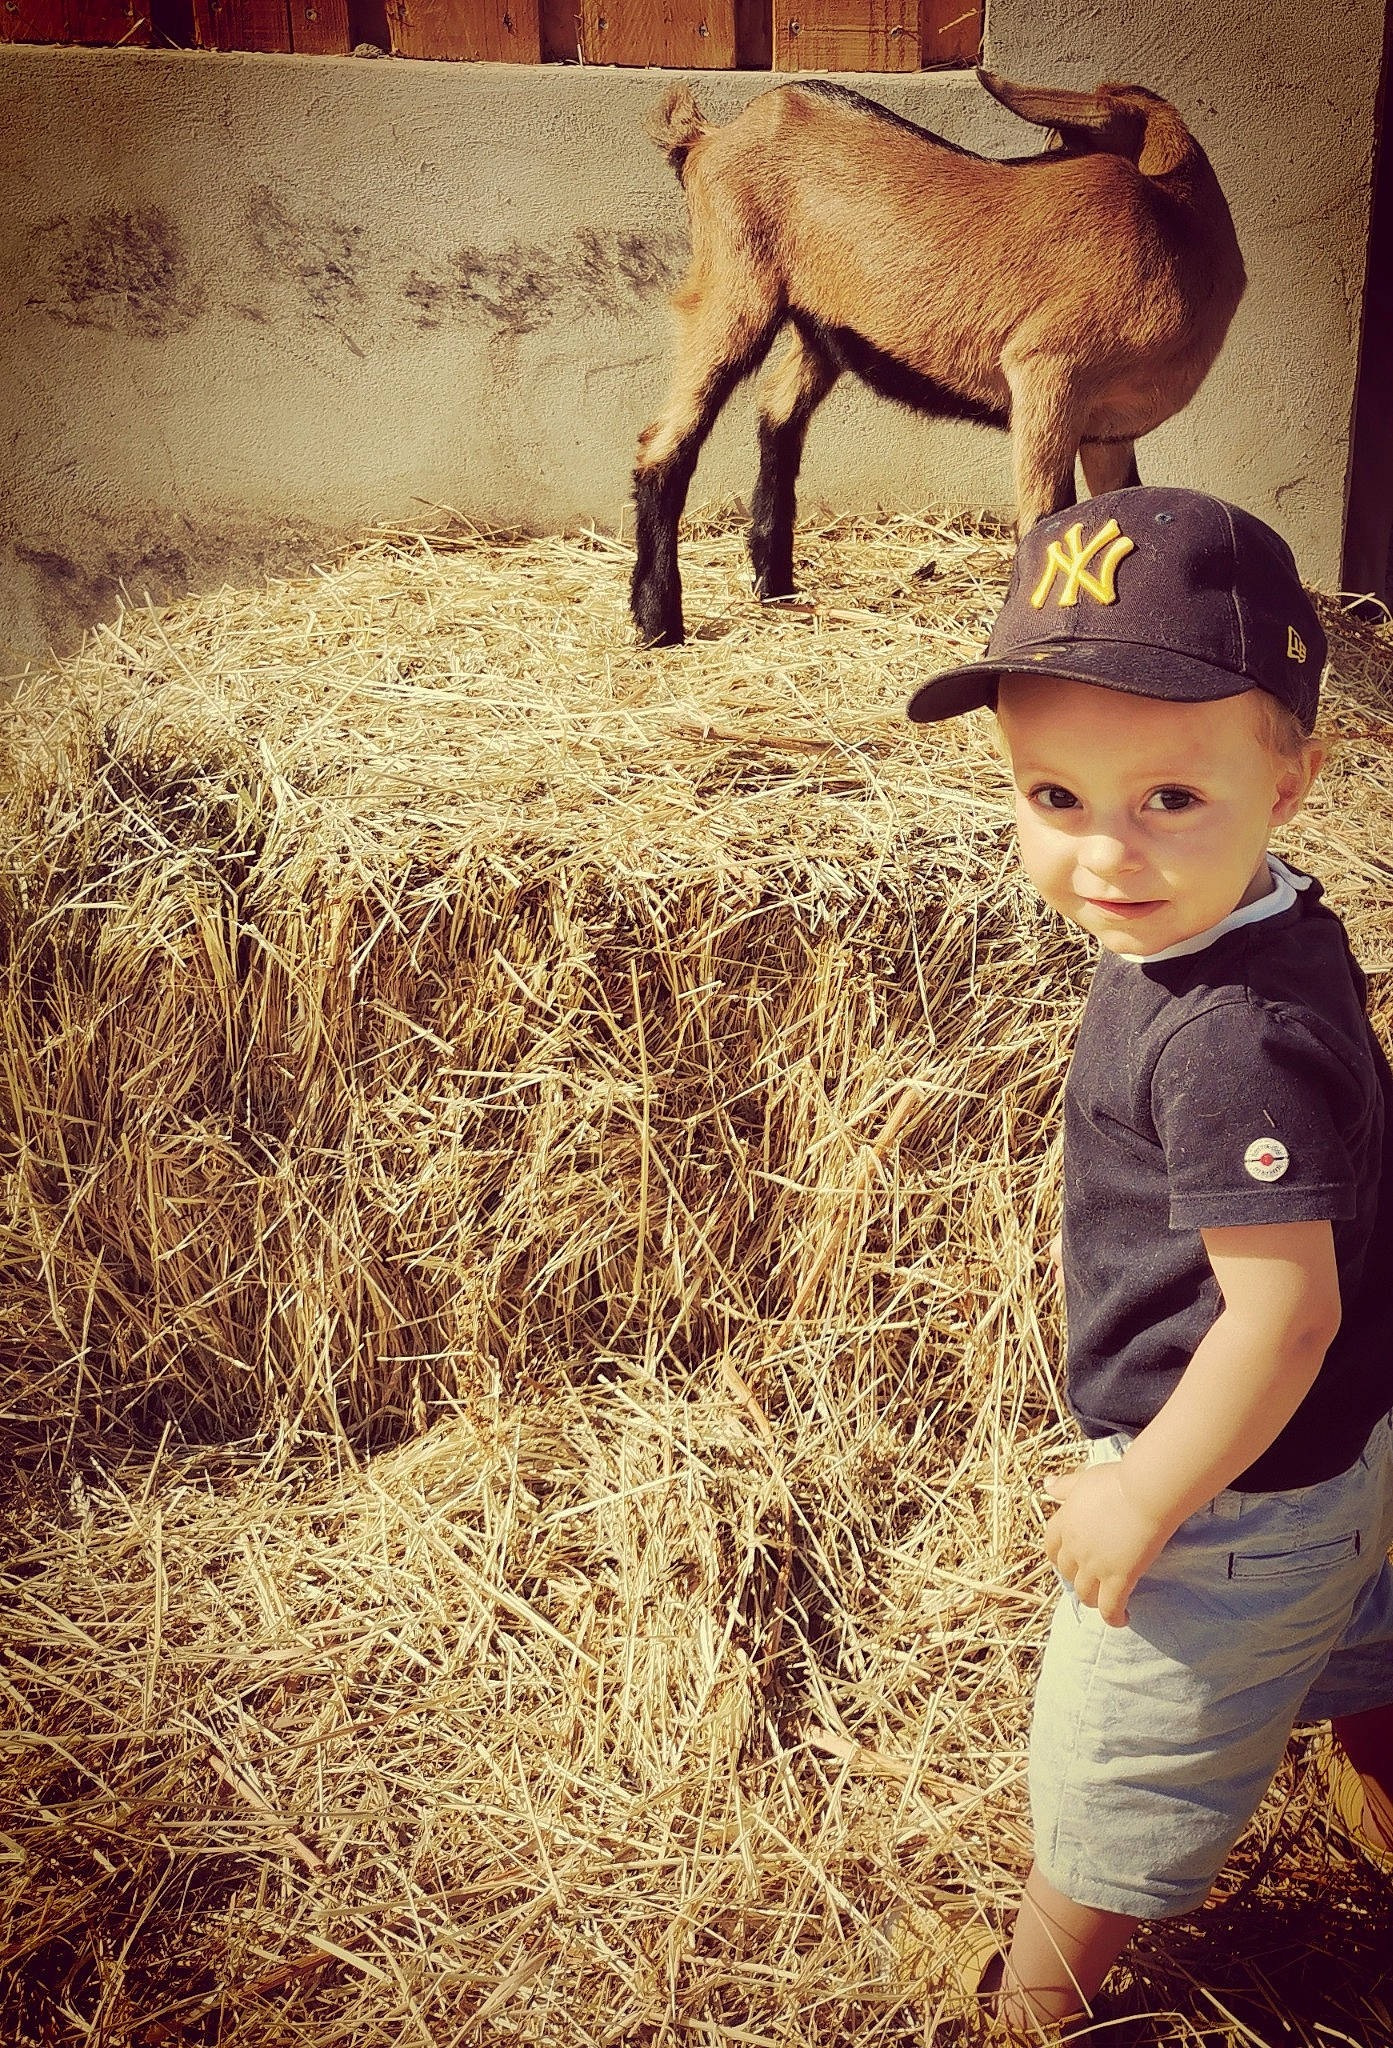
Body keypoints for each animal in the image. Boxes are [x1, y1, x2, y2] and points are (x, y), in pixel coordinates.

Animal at [629, 70, 1245, 647]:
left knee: (779, 412)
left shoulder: (1108, 429)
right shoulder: (1049, 374)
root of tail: (709, 139)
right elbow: (1046, 518)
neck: (1179, 225)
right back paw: (658, 621)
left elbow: (1114, 515)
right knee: (667, 439)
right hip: (734, 287)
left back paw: (774, 584)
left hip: (819, 326)